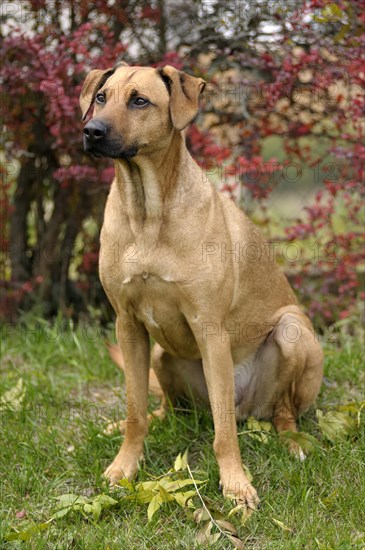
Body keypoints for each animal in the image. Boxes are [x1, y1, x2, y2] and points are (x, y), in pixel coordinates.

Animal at [79, 62, 322, 512]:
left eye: (140, 101)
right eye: (101, 97)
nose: (92, 131)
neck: (147, 209)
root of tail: (249, 409)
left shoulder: (210, 328)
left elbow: (224, 433)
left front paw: (236, 485)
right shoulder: (128, 324)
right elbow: (136, 410)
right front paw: (124, 467)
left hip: (292, 330)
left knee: (278, 412)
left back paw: (292, 441)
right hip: (160, 353)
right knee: (162, 408)